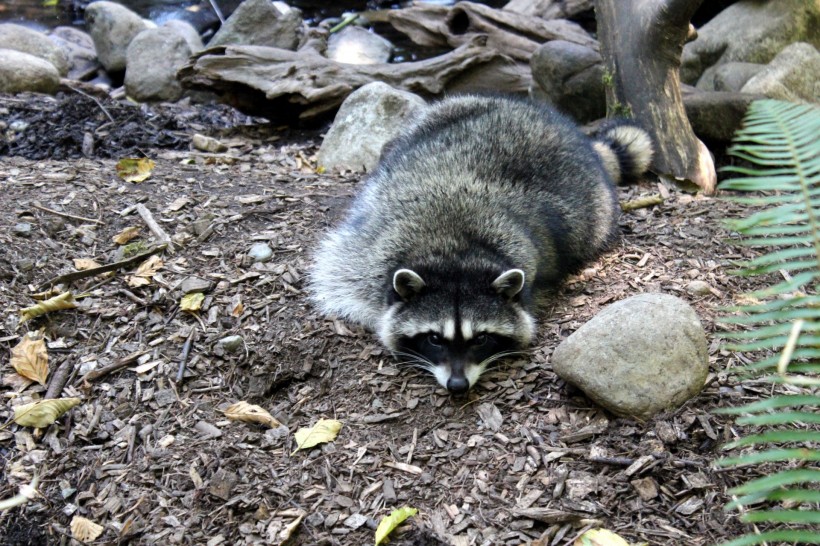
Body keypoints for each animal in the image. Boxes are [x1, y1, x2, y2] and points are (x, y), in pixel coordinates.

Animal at [308, 93, 652, 392]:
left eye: (481, 339)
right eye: (434, 339)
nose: (458, 386)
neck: (456, 254)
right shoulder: (367, 250)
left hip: (596, 208)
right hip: (446, 111)